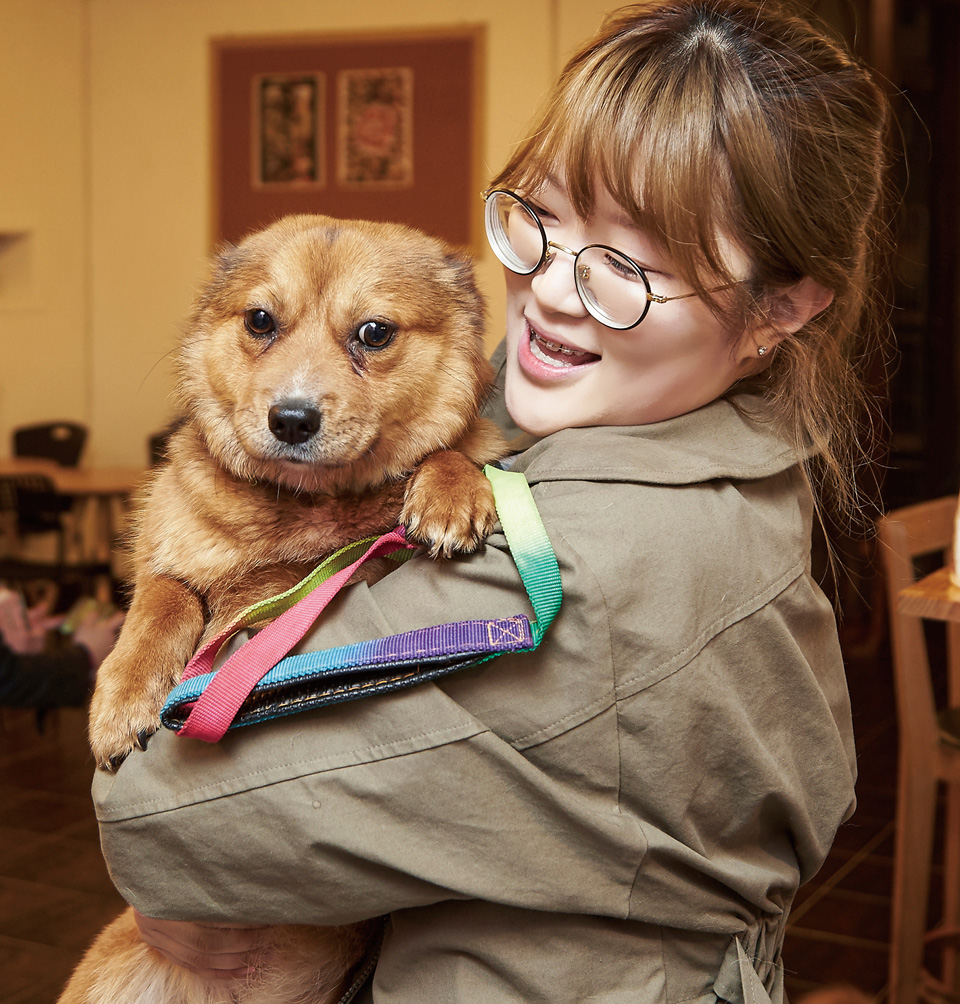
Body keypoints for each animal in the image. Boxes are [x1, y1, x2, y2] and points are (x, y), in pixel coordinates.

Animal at [58, 213, 506, 1003]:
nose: (291, 419)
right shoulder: (173, 565)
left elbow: (450, 453)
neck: (299, 517)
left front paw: (451, 488)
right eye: (261, 321)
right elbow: (165, 600)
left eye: (374, 332)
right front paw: (121, 698)